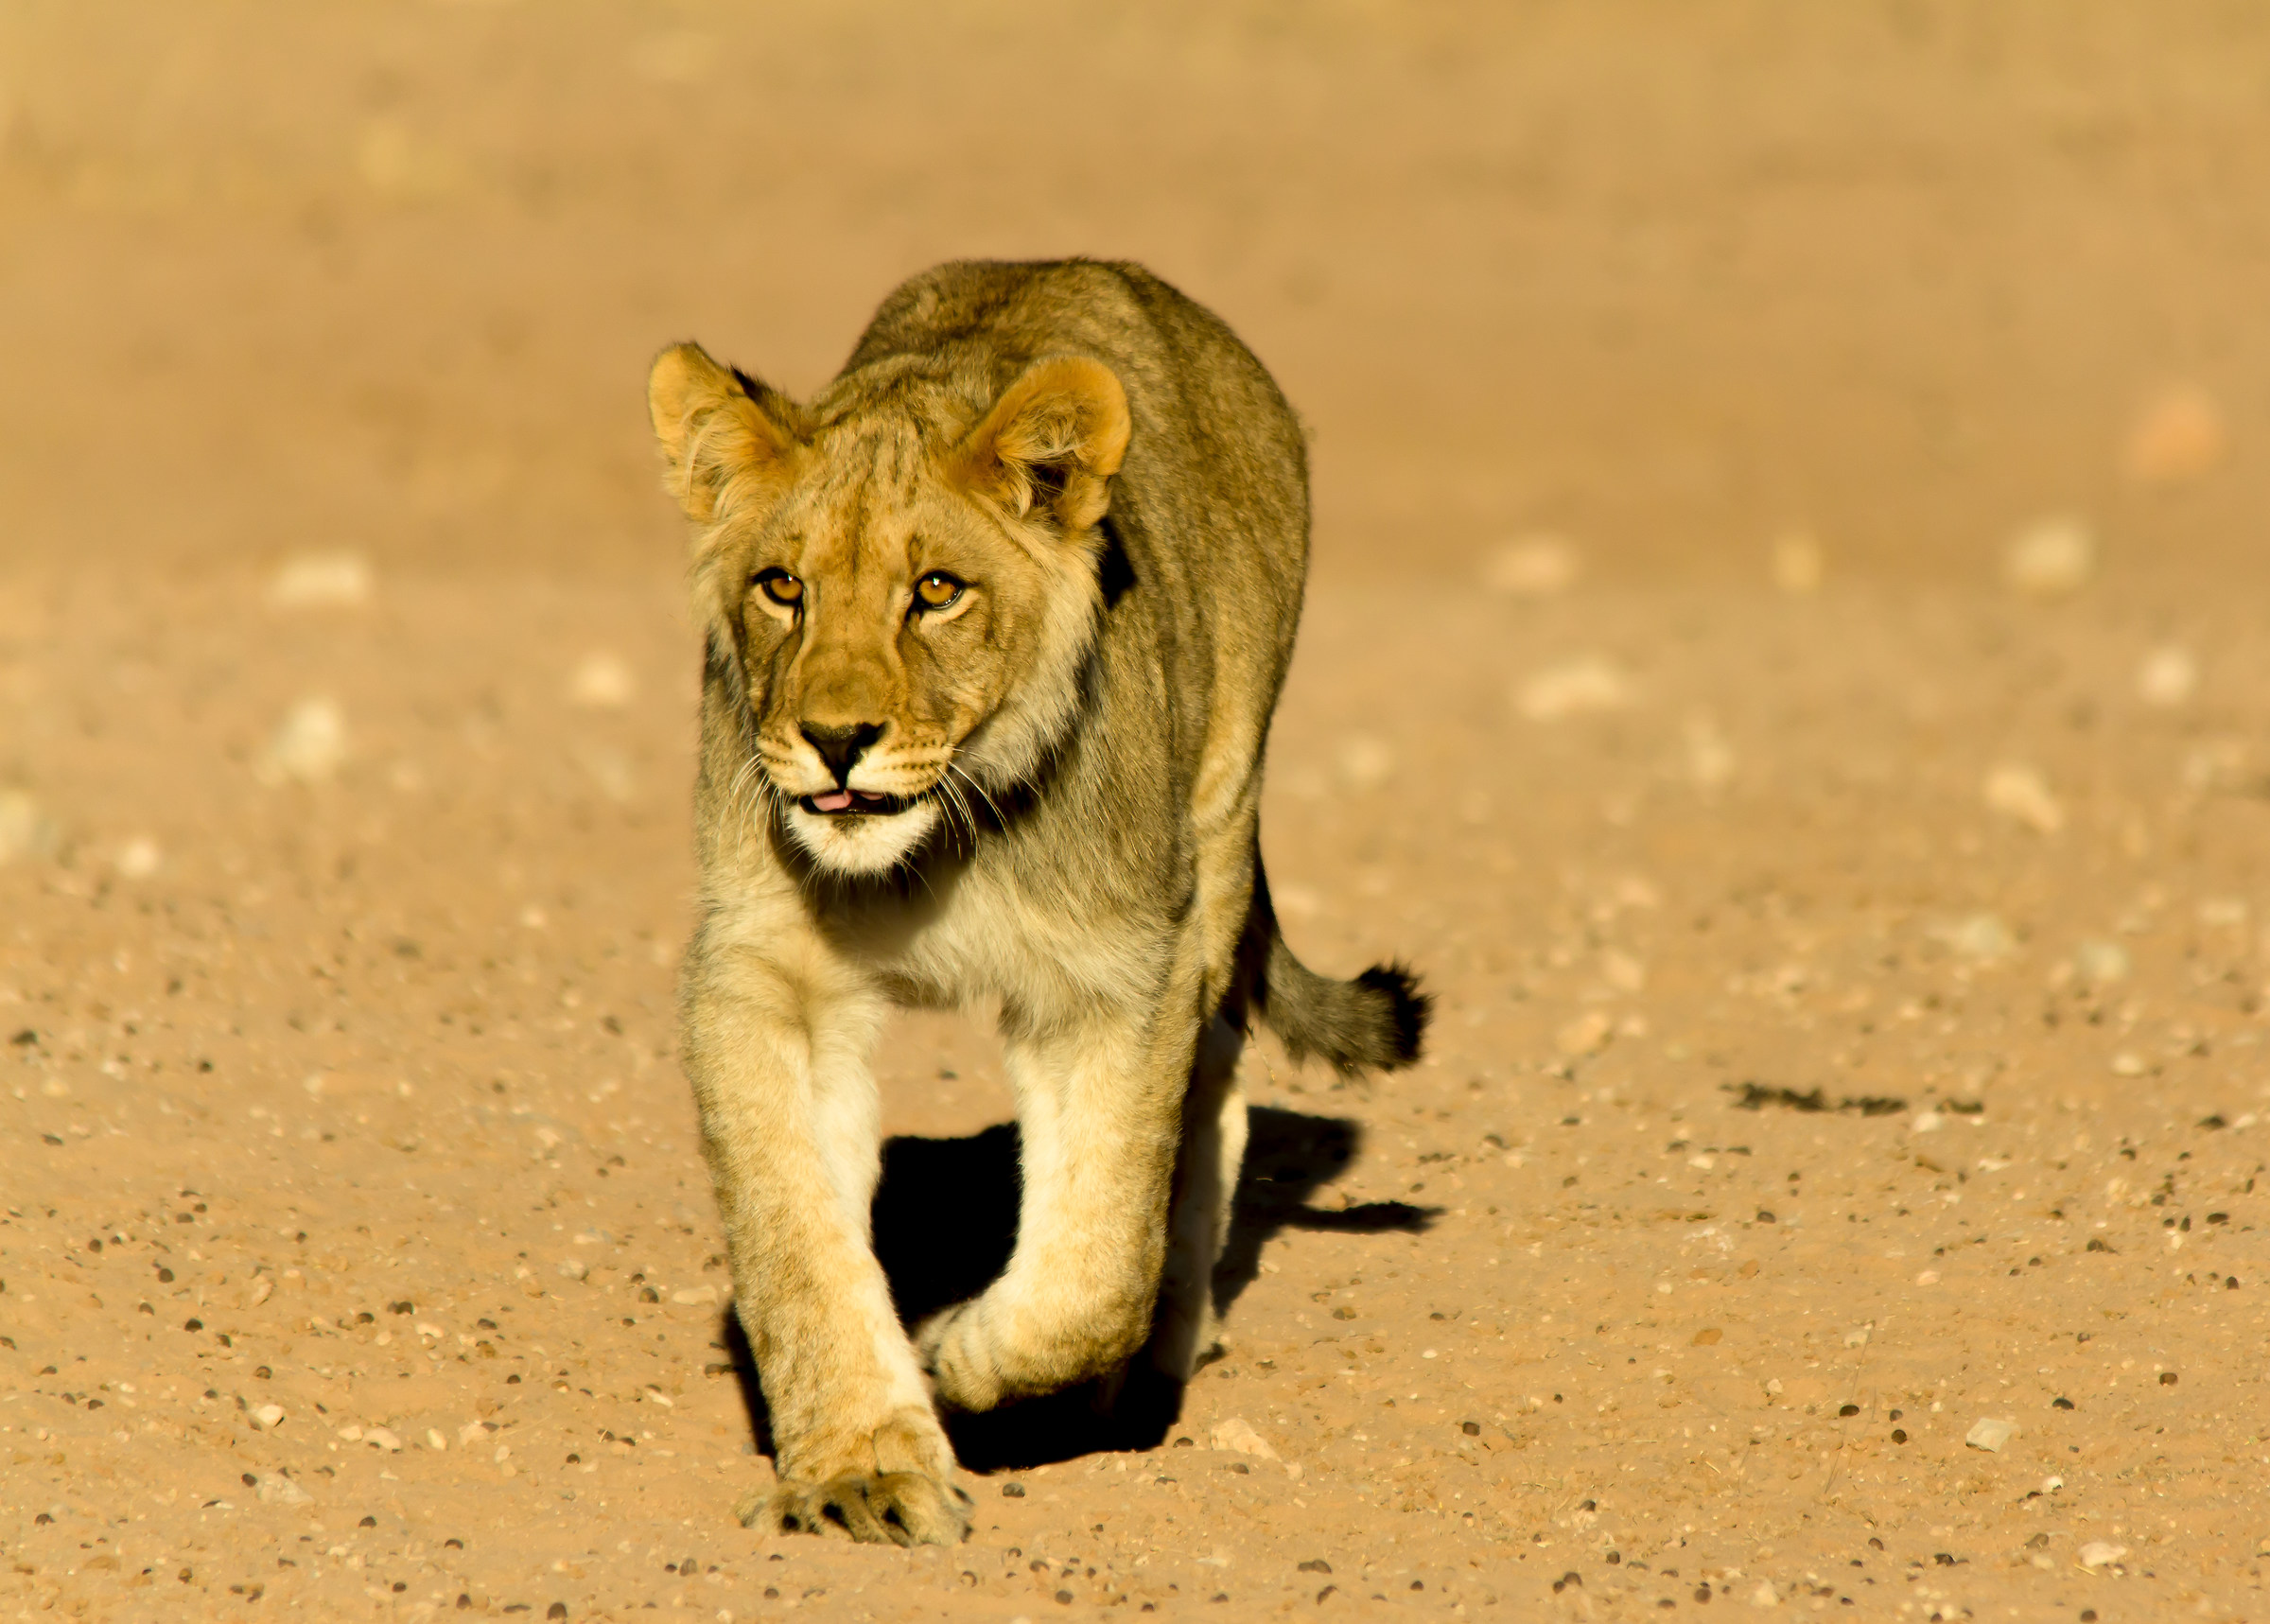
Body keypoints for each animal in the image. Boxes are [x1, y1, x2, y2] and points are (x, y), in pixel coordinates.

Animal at [646, 259, 1429, 1546]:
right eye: (782, 587)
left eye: (936, 591)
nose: (836, 741)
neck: (933, 855)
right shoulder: (764, 977)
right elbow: (795, 1241)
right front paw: (861, 1471)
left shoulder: (1117, 973)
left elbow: (1095, 1262)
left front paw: (970, 1359)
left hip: (1219, 832)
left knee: (1209, 1111)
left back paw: (1155, 1368)